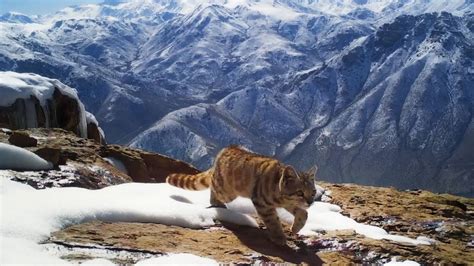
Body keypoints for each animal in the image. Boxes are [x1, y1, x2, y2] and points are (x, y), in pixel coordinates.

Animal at [167, 145, 318, 245]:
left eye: (313, 192)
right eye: (300, 192)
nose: (310, 202)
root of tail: (225, 149)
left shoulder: (288, 203)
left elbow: (303, 213)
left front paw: (295, 228)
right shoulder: (263, 203)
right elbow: (273, 221)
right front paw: (279, 237)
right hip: (228, 191)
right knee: (213, 186)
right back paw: (217, 203)